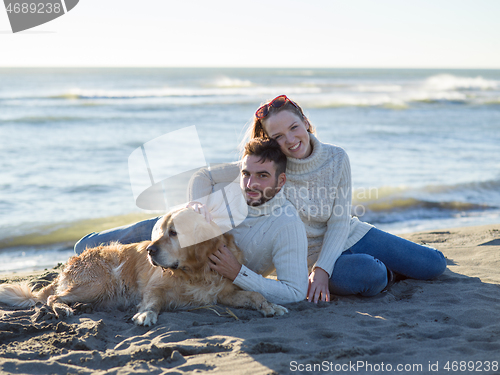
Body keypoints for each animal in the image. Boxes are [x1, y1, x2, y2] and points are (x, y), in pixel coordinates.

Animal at [0, 209, 288, 326]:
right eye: (159, 232)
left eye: (174, 233)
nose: (150, 250)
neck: (195, 272)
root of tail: (71, 262)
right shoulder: (155, 287)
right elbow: (152, 301)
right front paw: (146, 315)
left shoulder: (223, 293)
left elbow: (255, 294)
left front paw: (271, 306)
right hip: (99, 282)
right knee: (52, 297)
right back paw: (63, 308)